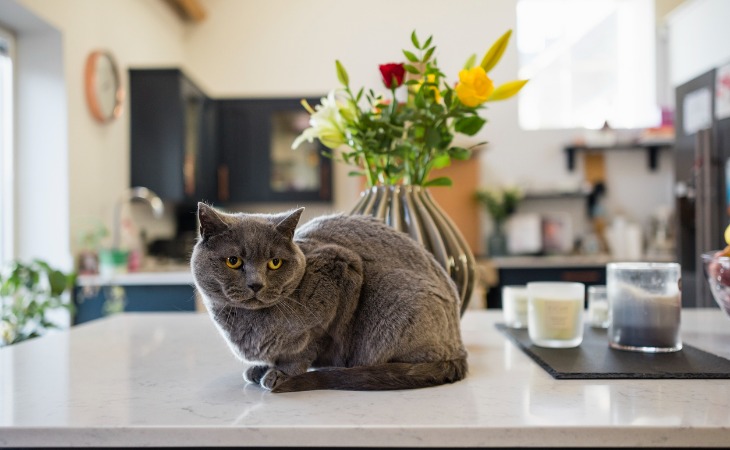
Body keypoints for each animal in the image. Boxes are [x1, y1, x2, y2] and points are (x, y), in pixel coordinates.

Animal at [190, 202, 468, 393]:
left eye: (275, 263)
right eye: (233, 261)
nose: (256, 284)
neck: (249, 323)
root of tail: (459, 344)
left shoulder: (341, 268)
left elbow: (305, 349)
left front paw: (282, 374)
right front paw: (262, 368)